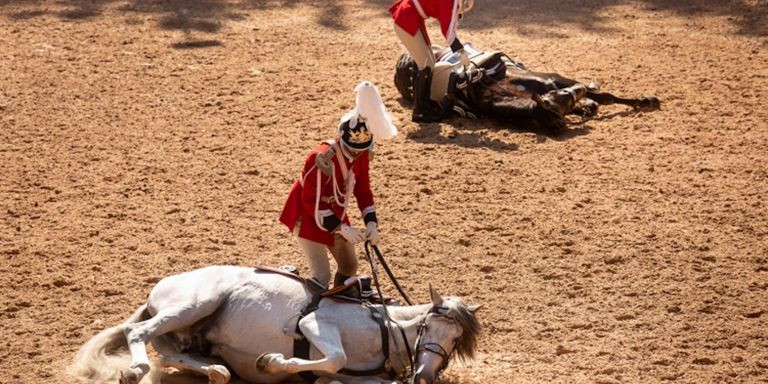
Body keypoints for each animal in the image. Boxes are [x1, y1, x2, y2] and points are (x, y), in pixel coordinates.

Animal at [70, 266, 480, 384]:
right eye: (430, 326)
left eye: (456, 341)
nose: (424, 376)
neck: (385, 329)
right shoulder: (316, 323)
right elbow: (333, 357)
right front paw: (273, 362)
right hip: (195, 303)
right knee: (138, 333)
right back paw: (134, 370)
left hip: (186, 333)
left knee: (176, 354)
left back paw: (217, 371)